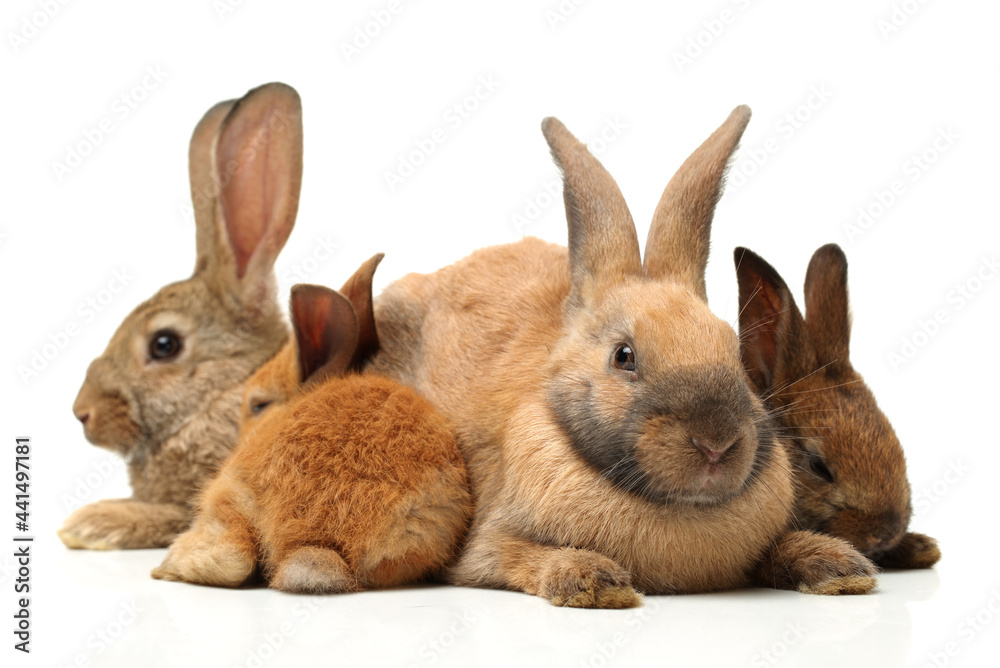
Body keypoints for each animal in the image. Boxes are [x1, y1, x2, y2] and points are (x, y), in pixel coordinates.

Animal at [367, 107, 879, 608]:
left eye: (734, 352)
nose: (716, 444)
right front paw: (594, 580)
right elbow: (523, 557)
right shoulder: (487, 545)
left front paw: (841, 568)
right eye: (624, 356)